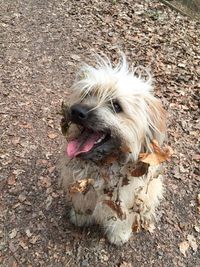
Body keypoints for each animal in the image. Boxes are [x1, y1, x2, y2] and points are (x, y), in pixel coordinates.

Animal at [58, 54, 167, 247]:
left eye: (116, 106)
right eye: (87, 93)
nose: (76, 111)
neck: (104, 164)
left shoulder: (125, 199)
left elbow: (121, 219)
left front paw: (119, 235)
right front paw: (80, 216)